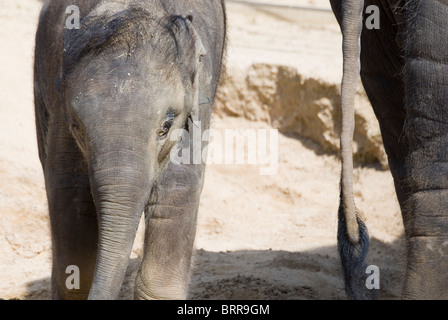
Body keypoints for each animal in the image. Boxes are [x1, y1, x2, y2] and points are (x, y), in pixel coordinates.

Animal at [33, 0, 226, 300]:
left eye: (166, 126)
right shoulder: (60, 114)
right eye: (77, 127)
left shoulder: (196, 105)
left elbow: (175, 194)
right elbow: (70, 191)